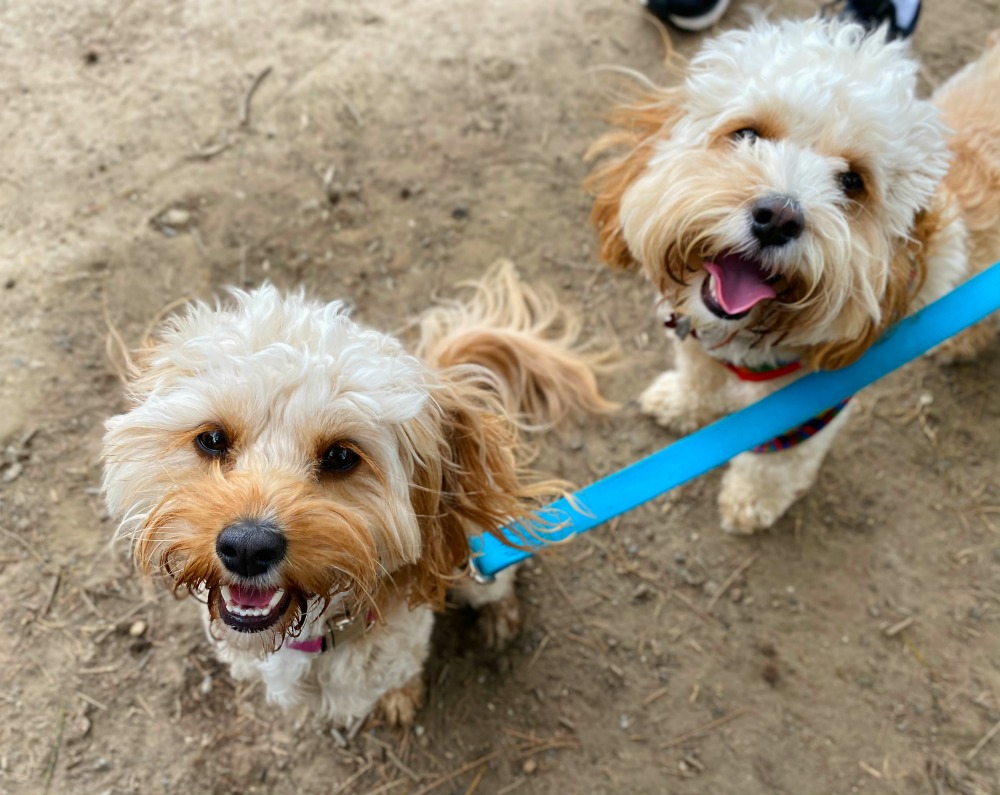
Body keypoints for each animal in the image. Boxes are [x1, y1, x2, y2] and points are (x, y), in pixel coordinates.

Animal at [105, 266, 612, 728]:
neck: (311, 631)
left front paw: (400, 698)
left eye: (341, 455)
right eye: (212, 439)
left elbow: (399, 675)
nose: (247, 548)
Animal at [584, 17, 1000, 536]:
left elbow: (777, 461)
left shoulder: (812, 403)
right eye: (747, 134)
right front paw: (683, 402)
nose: (778, 217)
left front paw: (751, 500)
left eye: (852, 181)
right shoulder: (696, 337)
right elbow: (697, 373)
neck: (744, 335)